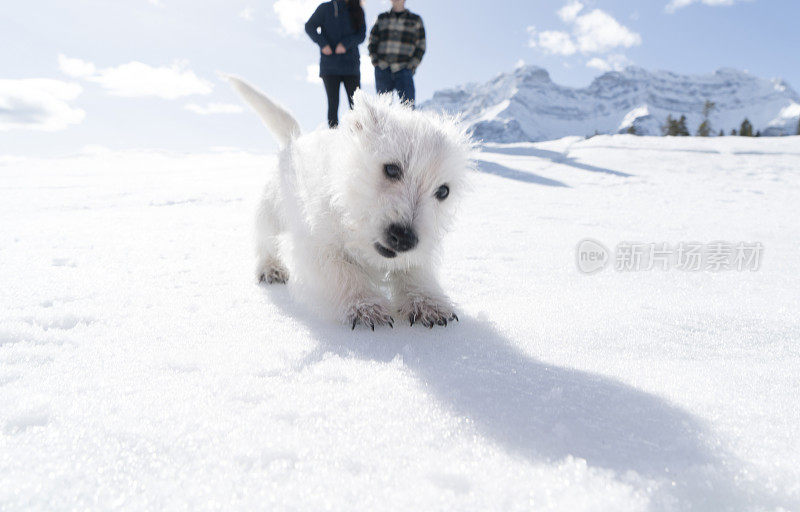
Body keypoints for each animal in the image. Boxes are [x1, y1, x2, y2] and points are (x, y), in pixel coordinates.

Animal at [228, 78, 472, 330]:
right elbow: (342, 272)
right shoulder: (315, 245)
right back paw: (271, 268)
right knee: (265, 239)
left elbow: (415, 270)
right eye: (391, 169)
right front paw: (364, 305)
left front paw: (427, 302)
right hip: (271, 210)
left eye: (443, 191)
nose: (404, 237)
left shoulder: (417, 251)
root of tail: (295, 139)